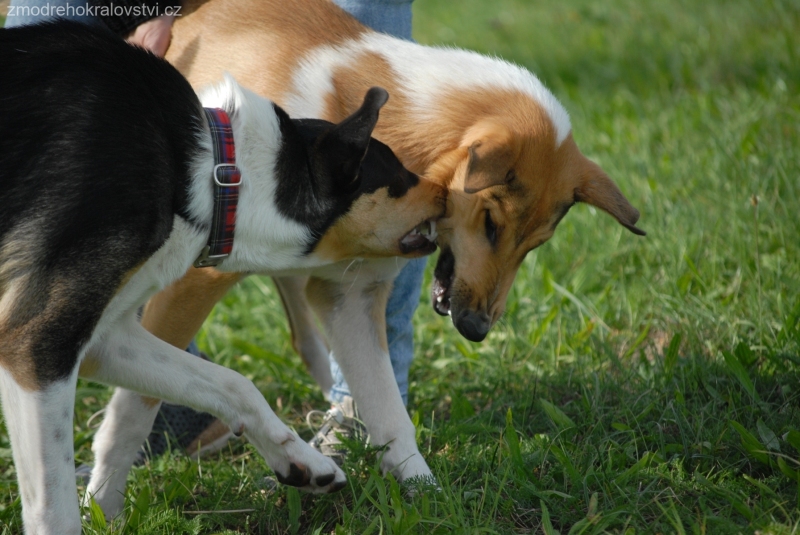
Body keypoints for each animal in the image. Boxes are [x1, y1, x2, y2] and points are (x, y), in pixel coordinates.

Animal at [0, 22, 444, 535]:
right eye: (400, 176)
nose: (452, 193)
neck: (213, 173)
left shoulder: (100, 340)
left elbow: (234, 385)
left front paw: (303, 464)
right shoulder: (36, 341)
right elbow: (53, 508)